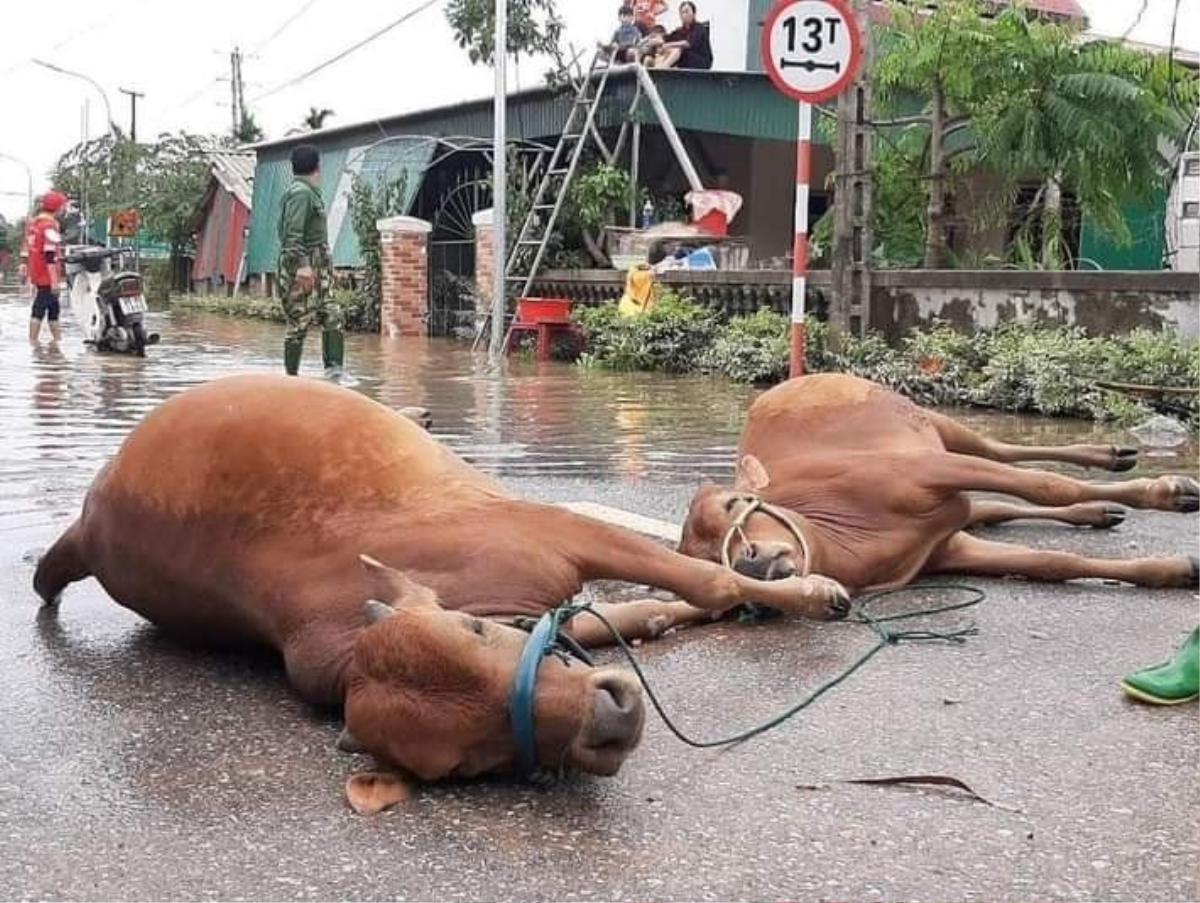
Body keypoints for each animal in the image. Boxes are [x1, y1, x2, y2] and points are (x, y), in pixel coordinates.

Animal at [30, 374, 854, 802]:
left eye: (478, 634)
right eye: (468, 765)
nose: (610, 723)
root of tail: (87, 525)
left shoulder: (560, 531)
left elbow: (702, 578)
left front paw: (809, 593)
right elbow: (646, 606)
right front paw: (674, 615)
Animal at [681, 372, 1195, 593]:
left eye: (732, 504)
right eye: (703, 556)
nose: (748, 561)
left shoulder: (928, 469)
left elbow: (1046, 485)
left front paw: (1165, 493)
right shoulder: (949, 549)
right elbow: (1053, 562)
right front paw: (1175, 570)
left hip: (941, 427)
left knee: (1004, 453)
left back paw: (1116, 462)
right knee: (993, 507)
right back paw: (1097, 511)